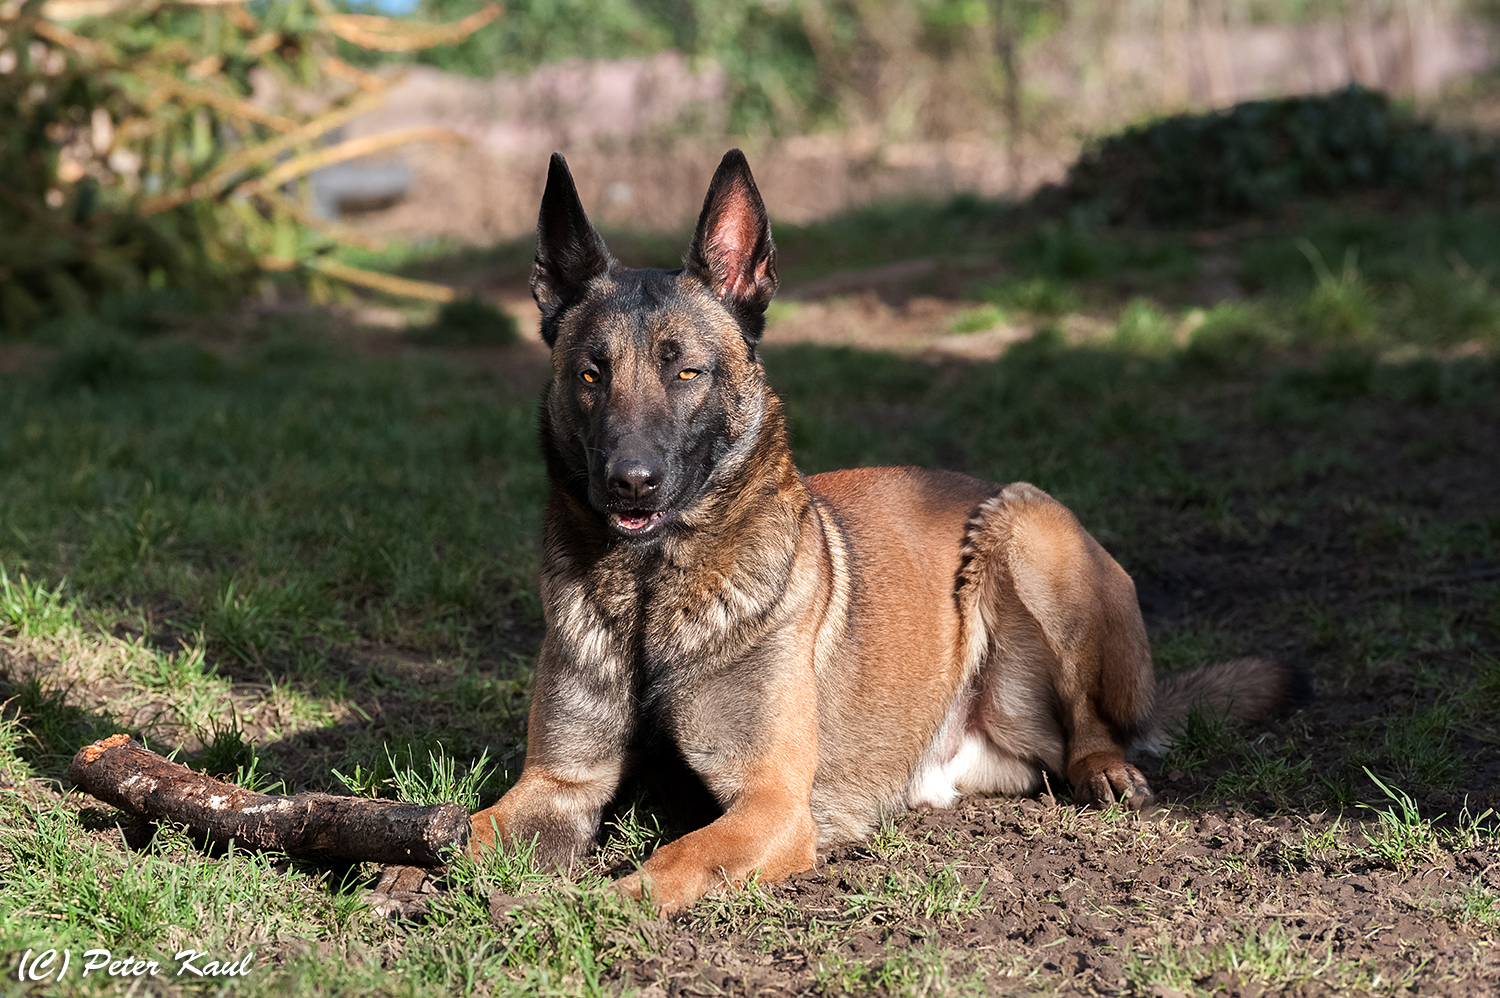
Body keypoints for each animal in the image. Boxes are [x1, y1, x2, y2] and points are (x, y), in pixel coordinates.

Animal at [468, 146, 1302, 912]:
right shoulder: (558, 783)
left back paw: (1104, 770)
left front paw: (597, 906)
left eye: (686, 372)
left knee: (1094, 726)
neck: (647, 599)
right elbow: (469, 829)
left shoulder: (771, 805)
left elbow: (672, 862)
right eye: (591, 375)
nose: (629, 480)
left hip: (1026, 526)